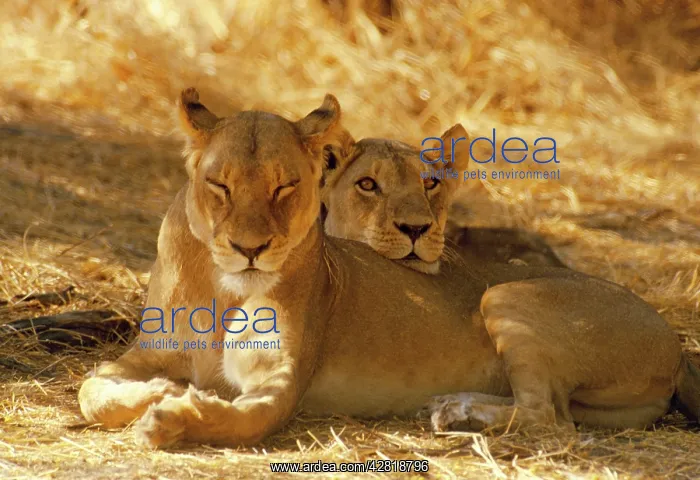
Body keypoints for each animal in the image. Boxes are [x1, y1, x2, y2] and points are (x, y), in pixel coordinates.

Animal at [78, 89, 700, 449]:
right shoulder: (146, 350)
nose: (250, 248)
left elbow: (244, 418)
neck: (224, 288)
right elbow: (90, 388)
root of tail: (675, 343)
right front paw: (158, 390)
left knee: (550, 418)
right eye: (220, 185)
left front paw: (173, 416)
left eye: (285, 186)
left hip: (505, 296)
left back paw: (459, 414)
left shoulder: (281, 381)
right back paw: (454, 408)